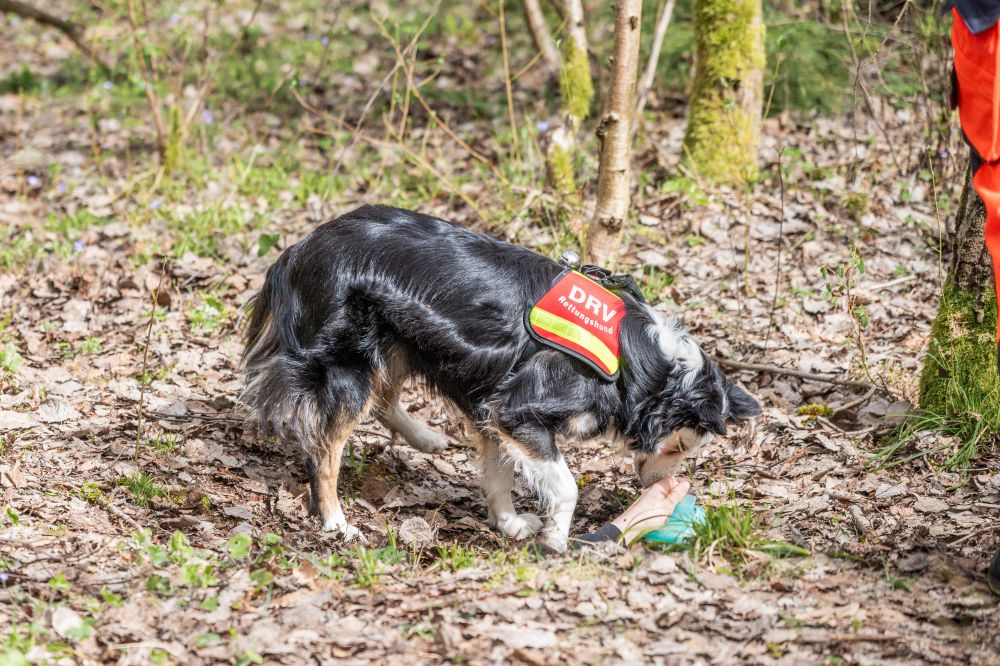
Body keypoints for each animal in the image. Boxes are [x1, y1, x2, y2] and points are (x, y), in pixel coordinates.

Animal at [240, 204, 756, 548]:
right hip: (351, 362)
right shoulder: (518, 410)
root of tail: (301, 248)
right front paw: (557, 539)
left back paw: (426, 438)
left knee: (384, 401)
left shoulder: (493, 411)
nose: (656, 488)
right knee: (325, 450)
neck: (642, 363)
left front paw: (508, 523)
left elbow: (498, 474)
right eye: (682, 446)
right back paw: (335, 520)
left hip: (400, 343)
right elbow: (564, 485)